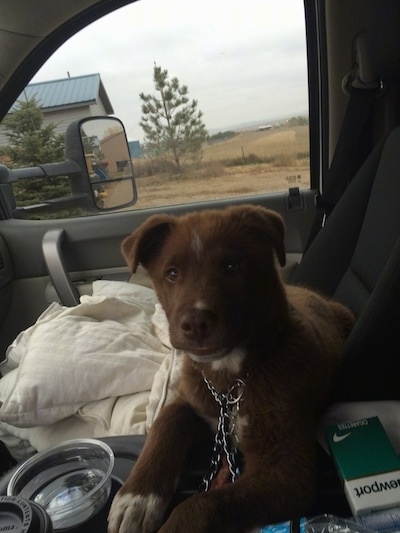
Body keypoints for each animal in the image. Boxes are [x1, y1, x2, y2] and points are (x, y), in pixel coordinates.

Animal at [108, 205, 354, 532]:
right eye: (172, 273)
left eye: (232, 265)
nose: (195, 323)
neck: (230, 379)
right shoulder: (192, 400)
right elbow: (166, 423)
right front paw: (135, 499)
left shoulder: (287, 472)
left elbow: (202, 504)